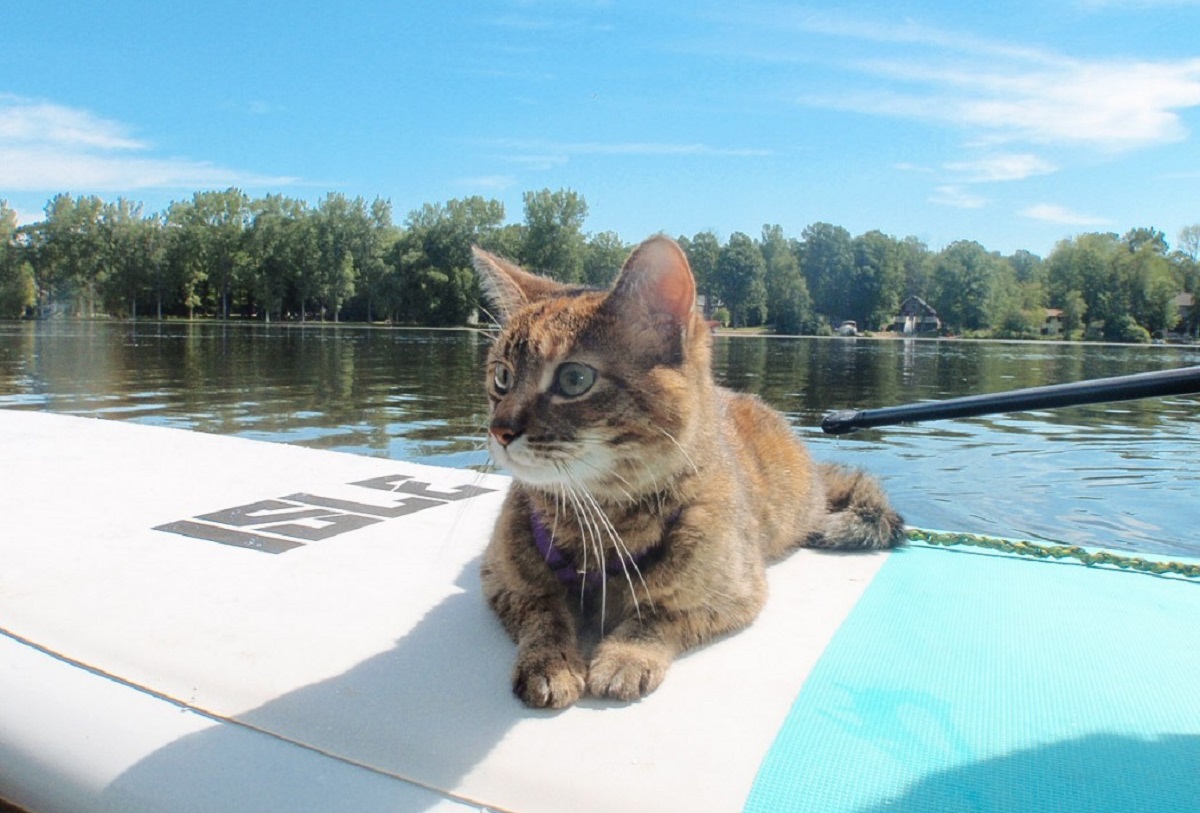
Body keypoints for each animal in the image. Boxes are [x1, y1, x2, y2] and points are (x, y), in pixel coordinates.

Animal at [468, 233, 902, 705]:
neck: (598, 524)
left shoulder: (735, 593)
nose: (499, 429)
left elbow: (658, 615)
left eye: (574, 379)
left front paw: (625, 655)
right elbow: (544, 611)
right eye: (502, 377)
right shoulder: (500, 579)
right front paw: (551, 662)